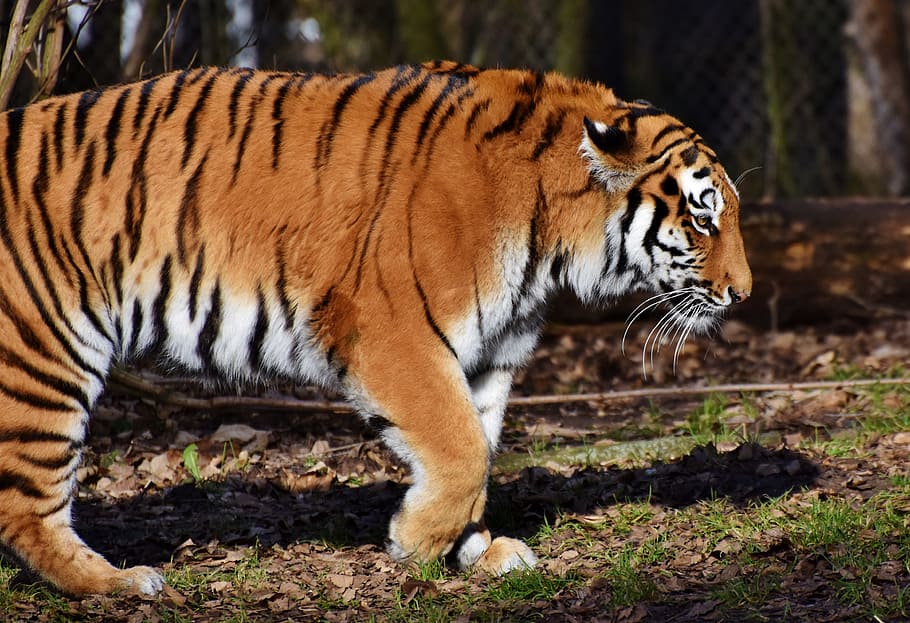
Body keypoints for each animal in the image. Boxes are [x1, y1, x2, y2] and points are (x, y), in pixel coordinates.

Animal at [0, 61, 752, 596]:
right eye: (703, 217)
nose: (742, 293)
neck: (551, 239)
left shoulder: (488, 354)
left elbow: (477, 449)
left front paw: (477, 551)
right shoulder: (394, 333)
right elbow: (460, 449)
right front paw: (415, 544)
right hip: (47, 354)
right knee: (27, 504)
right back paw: (119, 583)